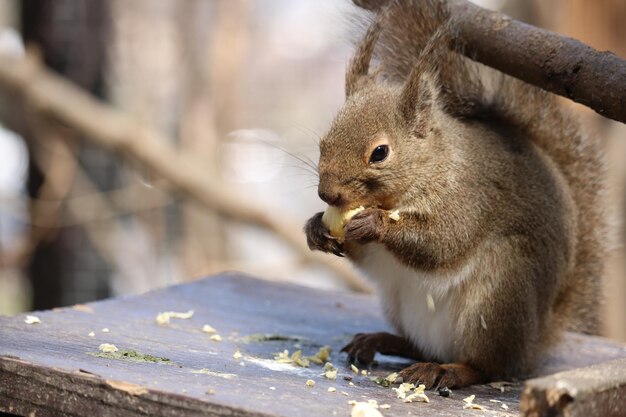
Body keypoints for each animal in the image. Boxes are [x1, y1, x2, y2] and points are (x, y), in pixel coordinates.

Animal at [302, 0, 604, 388]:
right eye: (323, 143)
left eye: (380, 153)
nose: (328, 194)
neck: (431, 166)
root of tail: (537, 338)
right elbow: (367, 256)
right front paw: (315, 228)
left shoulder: (470, 197)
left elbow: (444, 241)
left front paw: (375, 223)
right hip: (401, 305)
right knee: (422, 347)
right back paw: (382, 341)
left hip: (498, 295)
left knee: (487, 366)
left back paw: (447, 370)